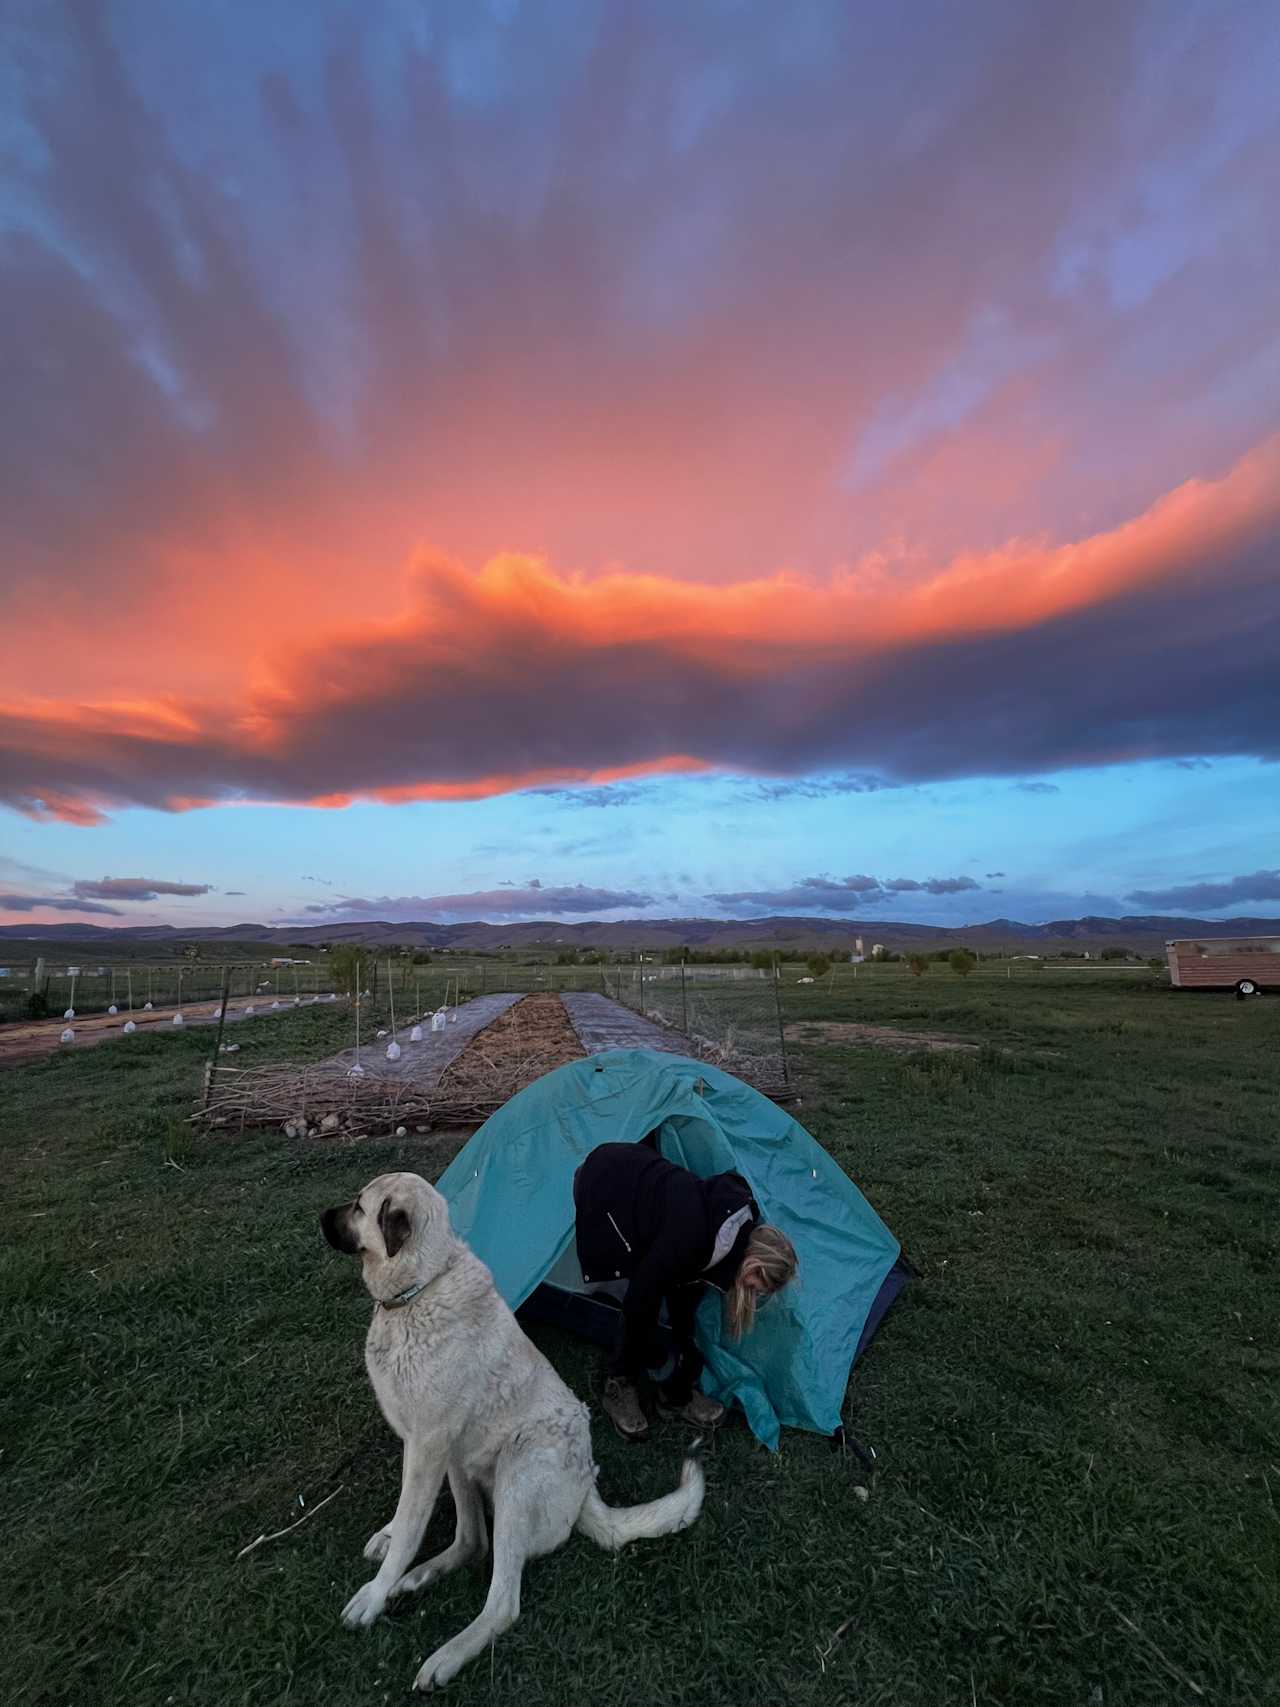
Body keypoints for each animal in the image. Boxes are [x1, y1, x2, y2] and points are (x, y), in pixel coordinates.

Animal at [319, 1167, 703, 1686]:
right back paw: (419, 1579)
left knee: (503, 1601)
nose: (321, 1217)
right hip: (462, 1458)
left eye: (359, 1207)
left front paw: (376, 1594)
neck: (419, 1290)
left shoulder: (427, 1446)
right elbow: (406, 1519)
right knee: (472, 1540)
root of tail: (587, 1486)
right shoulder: (423, 1446)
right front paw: (389, 1541)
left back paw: (446, 1655)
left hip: (516, 1473)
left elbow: (411, 1525)